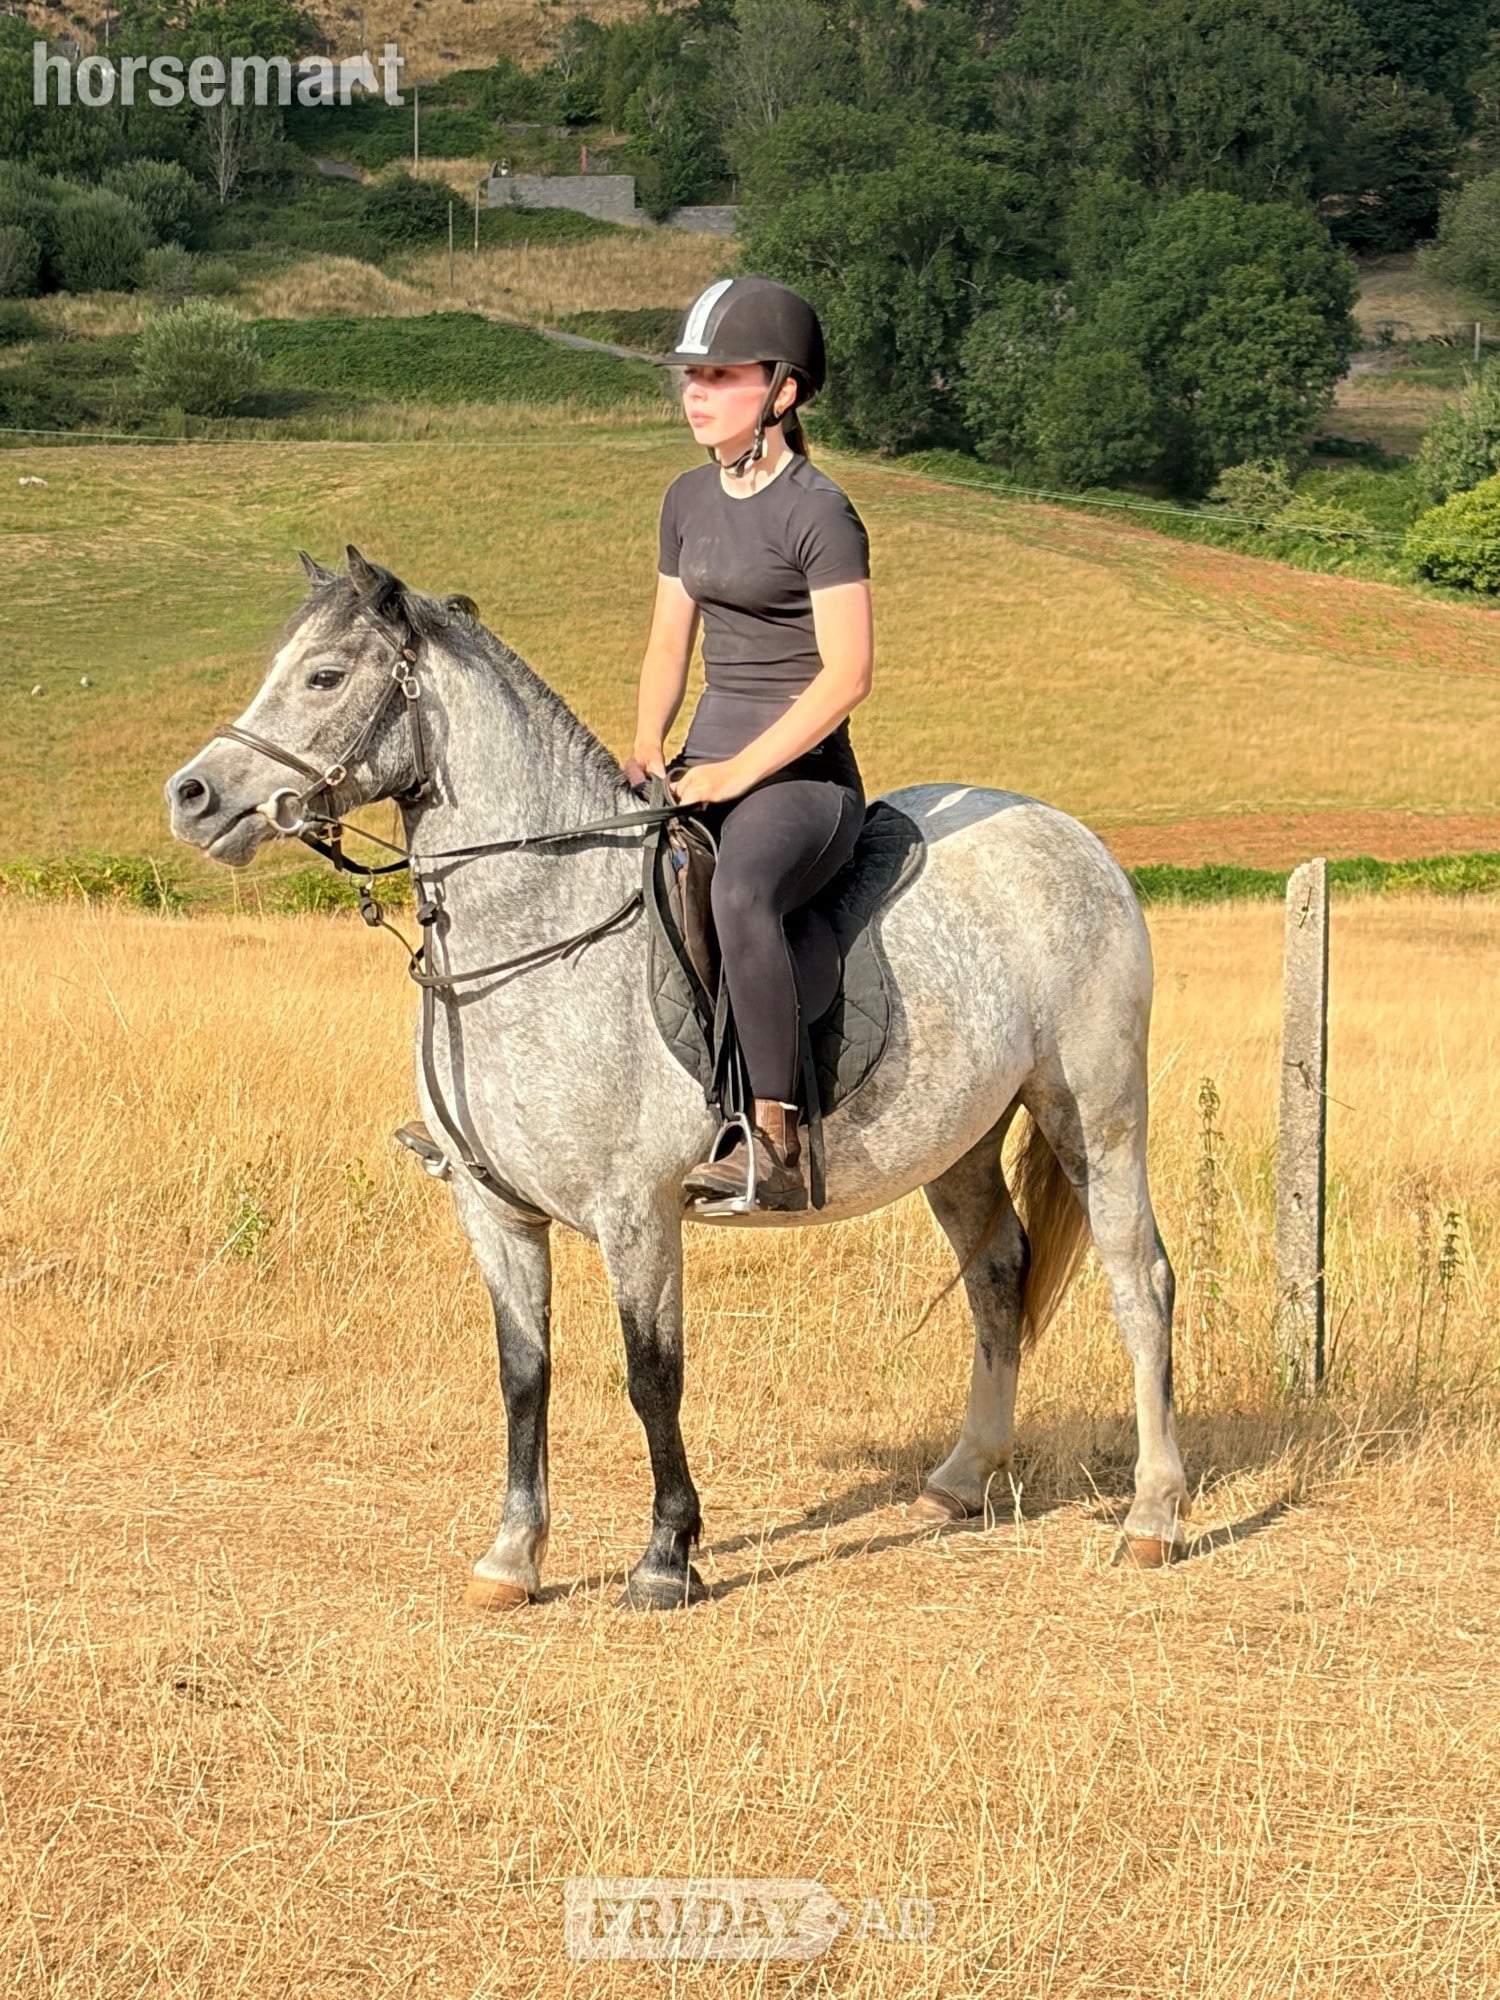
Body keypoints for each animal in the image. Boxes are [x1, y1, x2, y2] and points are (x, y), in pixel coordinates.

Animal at [165, 547, 1190, 1608]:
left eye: (324, 677)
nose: (190, 797)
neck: (541, 928)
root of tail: (1076, 839)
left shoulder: (637, 1211)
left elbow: (651, 1374)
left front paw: (666, 1556)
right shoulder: (494, 1212)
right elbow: (522, 1373)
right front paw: (512, 1556)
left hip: (1095, 1113)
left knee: (1139, 1278)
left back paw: (1153, 1515)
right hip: (961, 1144)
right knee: (996, 1275)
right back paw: (961, 1479)